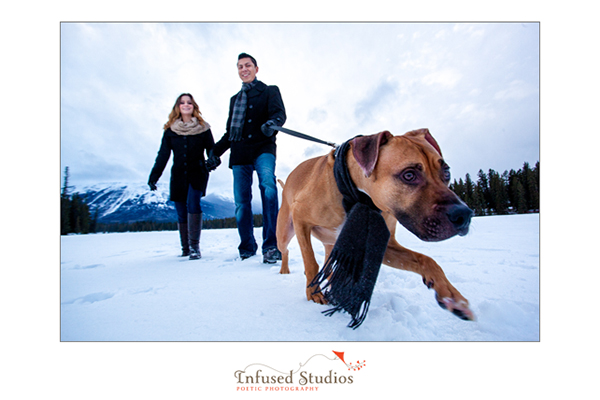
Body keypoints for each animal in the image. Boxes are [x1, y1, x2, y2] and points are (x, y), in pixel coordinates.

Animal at [276, 130, 474, 320]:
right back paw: (285, 269)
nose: (464, 214)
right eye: (409, 175)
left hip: (331, 242)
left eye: (446, 172)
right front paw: (313, 294)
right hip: (284, 232)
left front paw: (453, 297)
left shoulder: (383, 243)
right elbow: (310, 261)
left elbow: (427, 261)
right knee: (285, 250)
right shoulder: (300, 217)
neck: (357, 195)